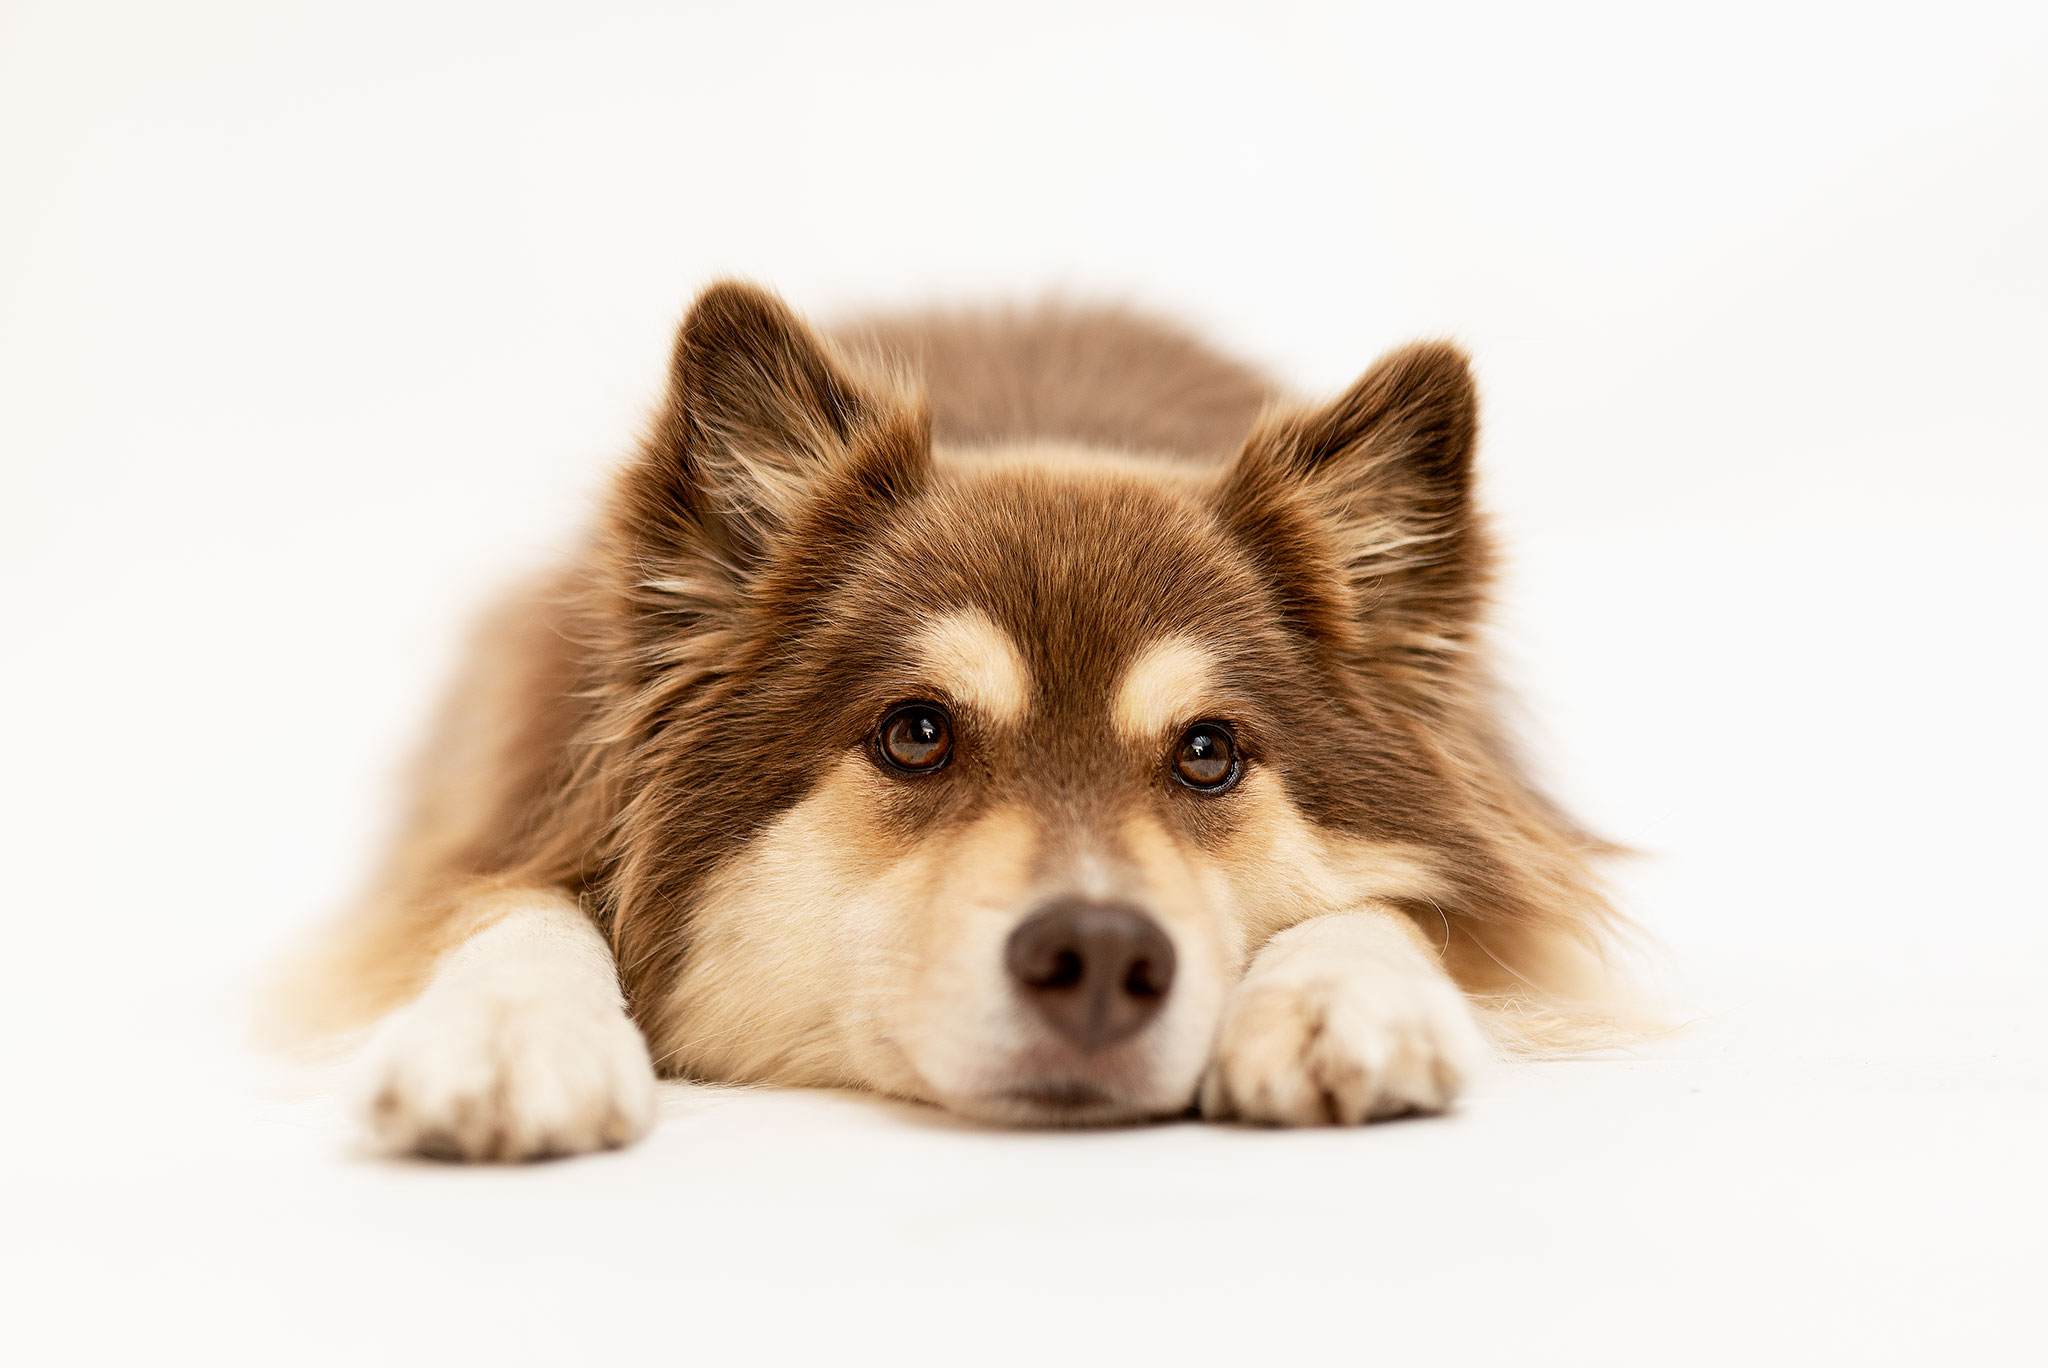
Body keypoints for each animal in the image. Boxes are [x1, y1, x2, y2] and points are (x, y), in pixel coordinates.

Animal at [276, 282, 1630, 1163]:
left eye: (1208, 753)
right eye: (915, 732)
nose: (1098, 958)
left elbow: (1403, 907)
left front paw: (1343, 997)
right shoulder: (497, 830)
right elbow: (507, 904)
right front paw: (506, 1034)